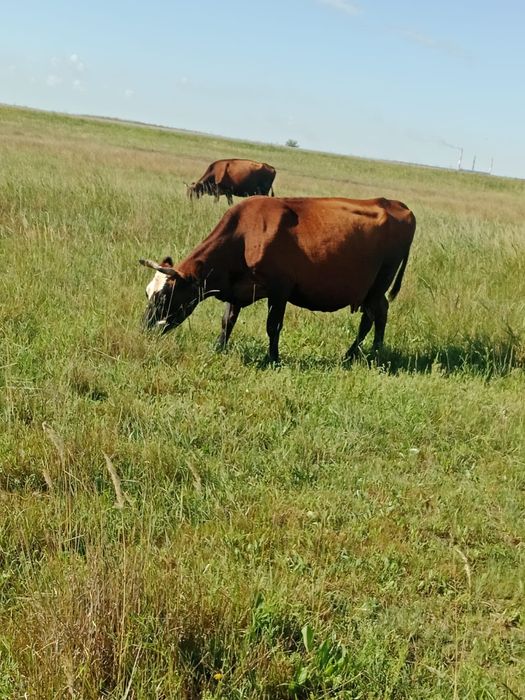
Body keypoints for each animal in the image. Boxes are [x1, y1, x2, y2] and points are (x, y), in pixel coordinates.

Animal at [140, 196, 416, 364]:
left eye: (163, 297)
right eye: (147, 293)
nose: (143, 328)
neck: (246, 235)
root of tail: (397, 205)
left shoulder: (280, 290)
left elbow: (273, 326)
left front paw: (273, 358)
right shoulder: (237, 289)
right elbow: (227, 321)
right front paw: (219, 348)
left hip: (379, 282)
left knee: (372, 316)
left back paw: (358, 353)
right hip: (374, 288)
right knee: (379, 312)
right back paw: (369, 351)